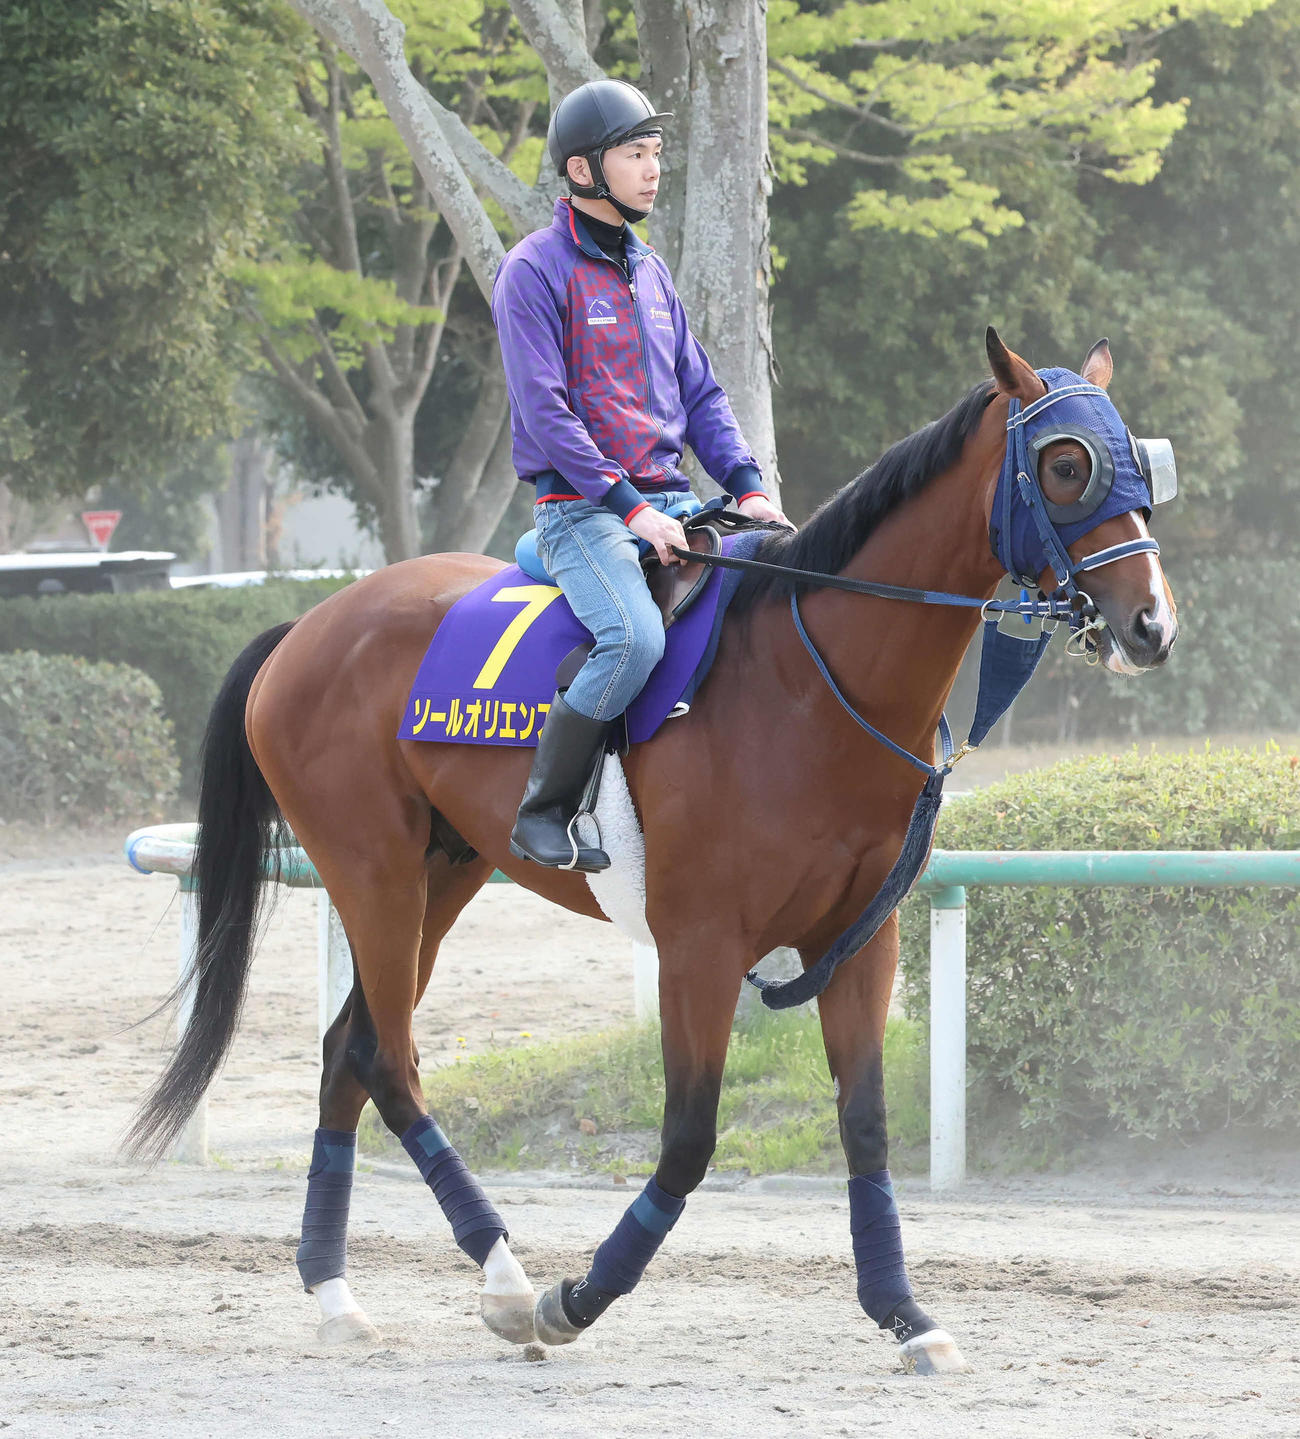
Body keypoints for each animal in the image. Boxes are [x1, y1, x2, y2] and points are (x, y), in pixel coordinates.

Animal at [127, 330, 1177, 1374]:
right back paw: (504, 1277)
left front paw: (905, 1311)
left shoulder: (858, 940)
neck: (810, 684)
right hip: (372, 874)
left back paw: (337, 1294)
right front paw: (576, 1298)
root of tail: (304, 626)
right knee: (386, 1058)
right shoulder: (699, 946)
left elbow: (868, 1124)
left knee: (347, 1050)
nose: (1153, 624)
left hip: (443, 873)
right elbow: (687, 1138)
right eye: (1068, 464)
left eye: (1138, 457)